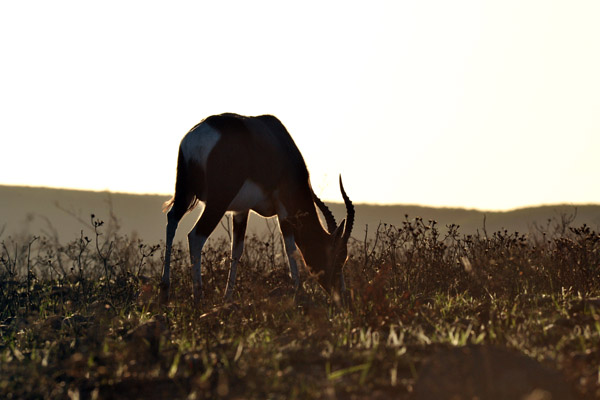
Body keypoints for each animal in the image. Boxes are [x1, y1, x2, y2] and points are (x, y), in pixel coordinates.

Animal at [162, 114, 354, 302]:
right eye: (338, 257)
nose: (341, 295)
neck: (282, 147)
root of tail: (197, 135)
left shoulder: (241, 210)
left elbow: (236, 250)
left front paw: (227, 299)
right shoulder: (283, 207)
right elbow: (290, 247)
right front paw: (299, 294)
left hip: (185, 193)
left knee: (172, 220)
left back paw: (165, 290)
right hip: (218, 202)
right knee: (195, 236)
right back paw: (198, 298)